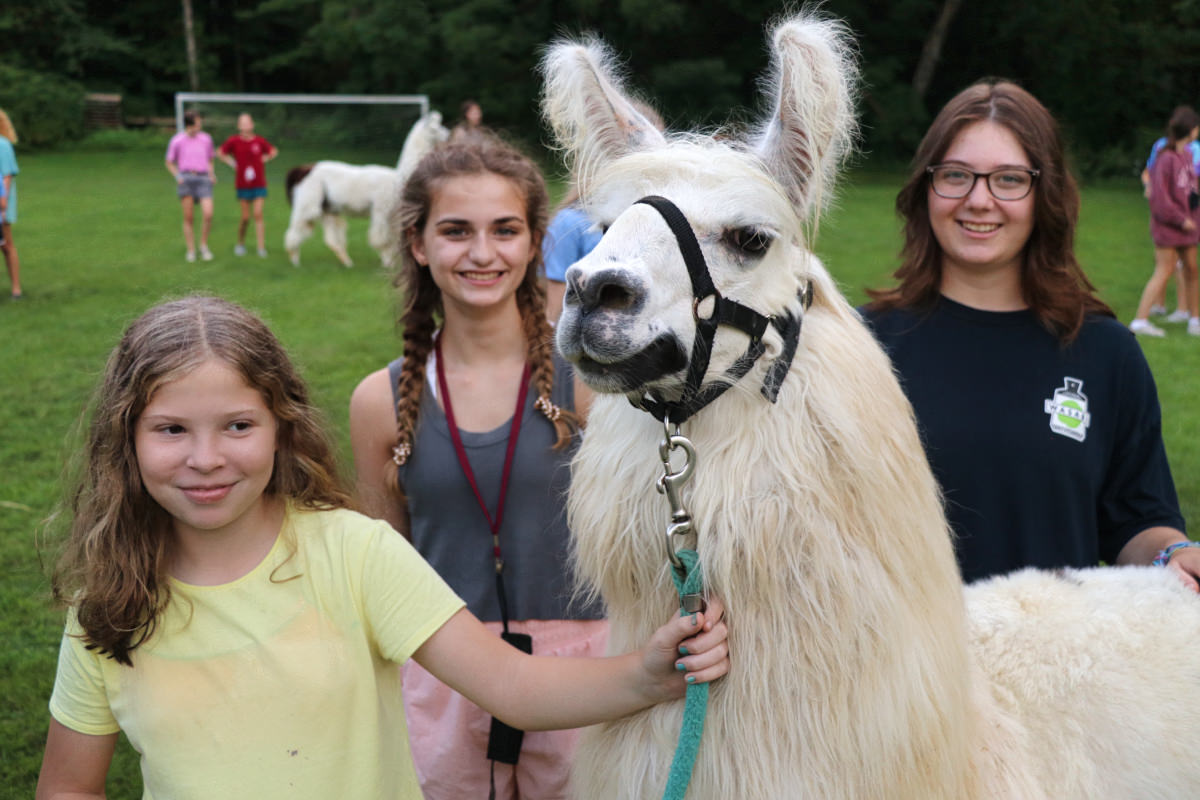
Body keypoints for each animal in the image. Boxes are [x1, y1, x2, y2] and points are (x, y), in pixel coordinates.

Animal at [283, 109, 448, 268]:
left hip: (328, 208)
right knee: (297, 228)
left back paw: (347, 263)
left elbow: (393, 240)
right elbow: (381, 239)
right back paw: (295, 260)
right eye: (436, 128)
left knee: (331, 239)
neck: (399, 178)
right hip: (310, 200)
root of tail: (303, 169)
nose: (447, 134)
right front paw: (388, 264)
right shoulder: (381, 209)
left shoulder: (394, 215)